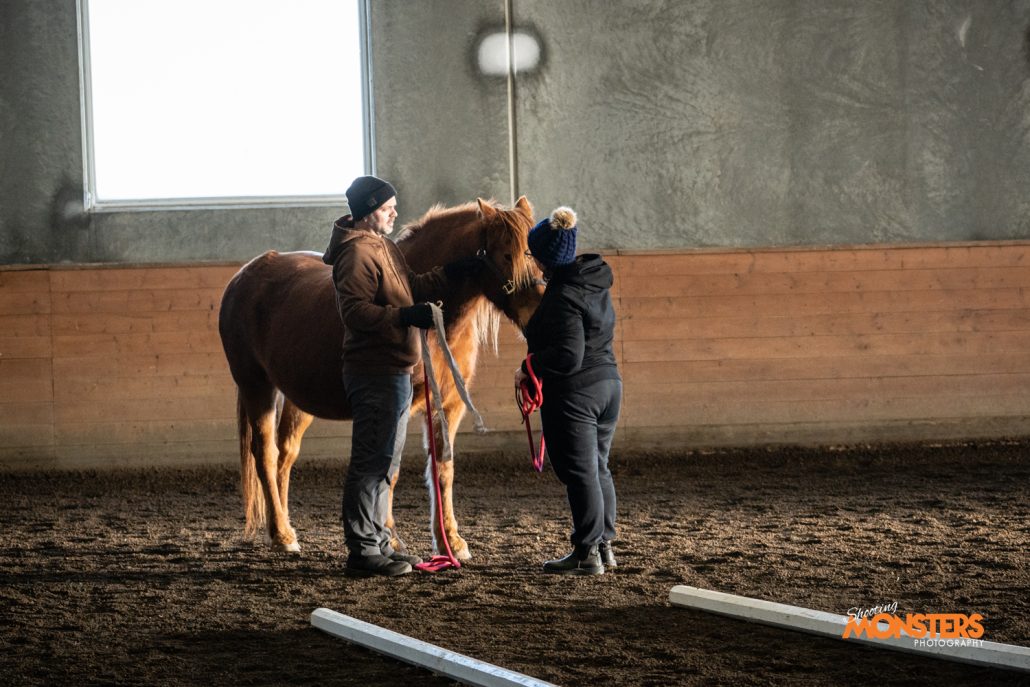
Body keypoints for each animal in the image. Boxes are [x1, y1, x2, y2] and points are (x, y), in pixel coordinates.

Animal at [217, 197, 539, 560]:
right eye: (507, 254)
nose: (538, 313)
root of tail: (243, 276)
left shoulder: (449, 405)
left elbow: (443, 470)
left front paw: (452, 542)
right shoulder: (396, 404)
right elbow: (389, 471)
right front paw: (391, 539)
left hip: (298, 398)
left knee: (285, 456)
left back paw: (284, 529)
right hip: (257, 386)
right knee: (266, 455)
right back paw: (282, 535)